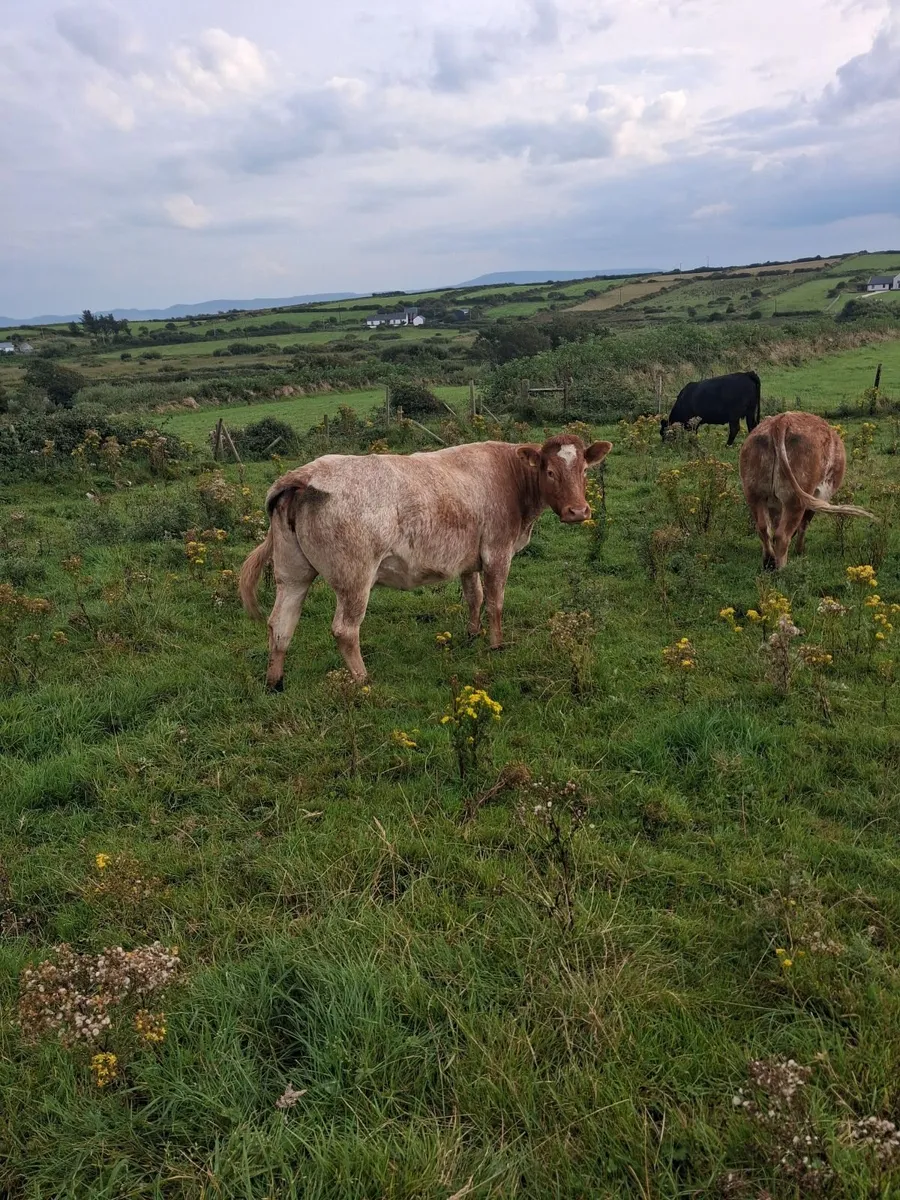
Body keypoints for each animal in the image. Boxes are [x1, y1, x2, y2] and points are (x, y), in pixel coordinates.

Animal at [239, 434, 613, 688]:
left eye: (583, 469)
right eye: (549, 471)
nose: (578, 511)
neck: (511, 478)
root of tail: (305, 474)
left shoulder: (468, 558)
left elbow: (474, 597)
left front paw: (472, 635)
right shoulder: (497, 551)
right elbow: (495, 602)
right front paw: (496, 645)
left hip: (293, 573)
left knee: (280, 623)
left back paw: (275, 682)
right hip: (354, 577)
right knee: (345, 630)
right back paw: (363, 681)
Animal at [739, 412, 874, 570]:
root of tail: (781, 421)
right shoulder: (818, 495)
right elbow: (804, 523)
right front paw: (800, 551)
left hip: (754, 495)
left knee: (763, 529)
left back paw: (768, 562)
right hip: (795, 499)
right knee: (782, 535)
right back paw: (781, 568)